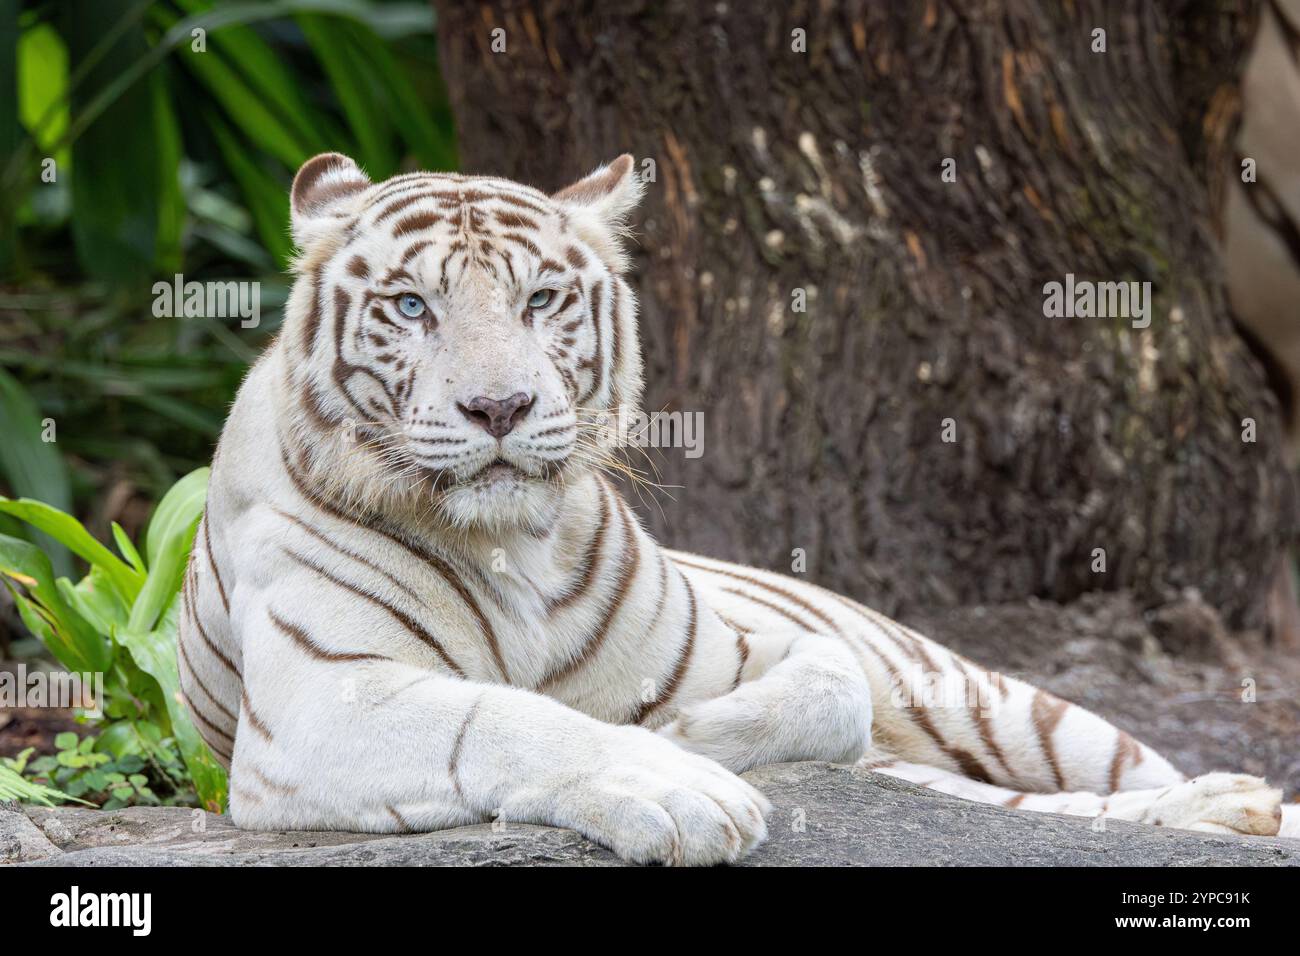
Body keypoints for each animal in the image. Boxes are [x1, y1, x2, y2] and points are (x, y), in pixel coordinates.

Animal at [180, 153, 1289, 863]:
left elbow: (830, 684)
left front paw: (693, 734)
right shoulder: (321, 698)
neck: (511, 545)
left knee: (1074, 784)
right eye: (412, 306)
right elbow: (505, 716)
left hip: (1006, 704)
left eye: (540, 300)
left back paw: (1236, 803)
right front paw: (673, 782)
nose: (499, 407)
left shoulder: (738, 646)